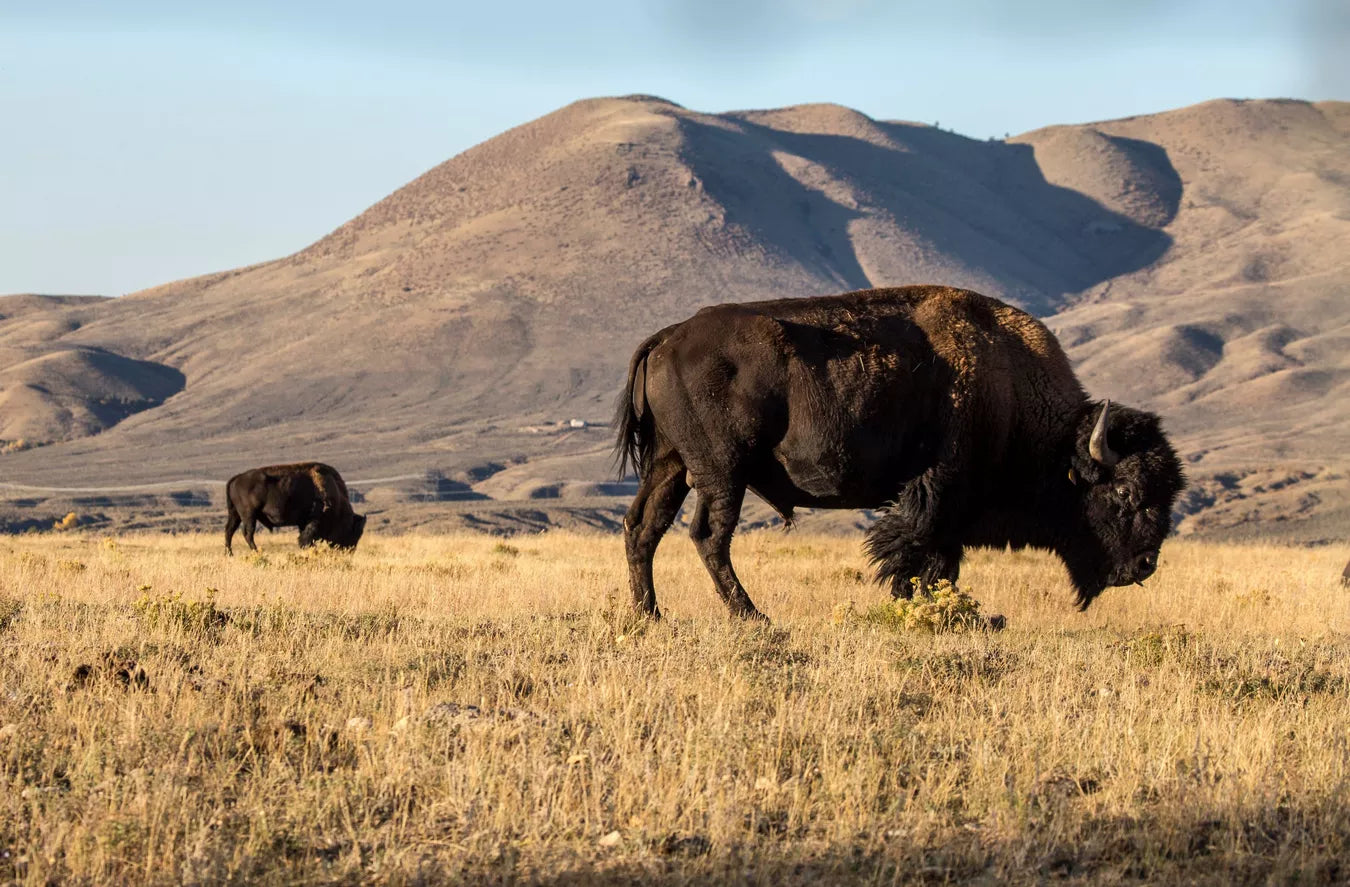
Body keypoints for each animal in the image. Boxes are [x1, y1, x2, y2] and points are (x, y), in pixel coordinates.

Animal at [224, 464, 367, 553]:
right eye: (353, 531)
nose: (350, 550)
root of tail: (237, 478)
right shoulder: (313, 521)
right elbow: (306, 538)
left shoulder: (303, 523)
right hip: (249, 515)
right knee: (247, 533)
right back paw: (256, 551)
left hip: (236, 514)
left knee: (229, 530)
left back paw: (229, 554)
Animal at [618, 283, 1188, 615]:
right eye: (1125, 495)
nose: (1145, 565)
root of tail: (669, 337)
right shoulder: (936, 493)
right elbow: (916, 554)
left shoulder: (952, 514)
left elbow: (943, 561)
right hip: (721, 472)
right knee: (709, 537)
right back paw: (751, 615)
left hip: (670, 464)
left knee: (644, 527)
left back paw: (649, 615)